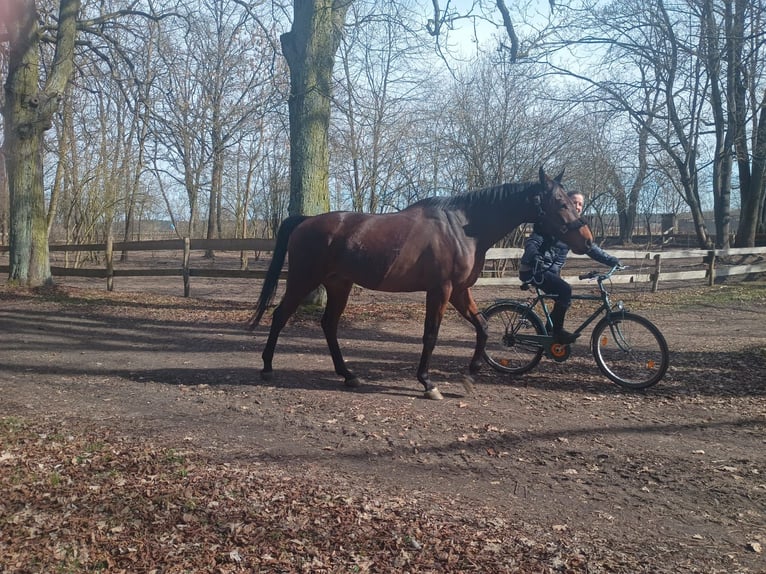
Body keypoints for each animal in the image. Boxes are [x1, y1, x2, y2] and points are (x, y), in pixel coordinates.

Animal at [248, 167, 593, 399]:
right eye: (560, 202)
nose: (587, 239)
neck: (464, 228)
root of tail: (305, 221)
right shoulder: (441, 291)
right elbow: (430, 335)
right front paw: (428, 383)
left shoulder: (460, 291)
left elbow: (483, 327)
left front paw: (470, 376)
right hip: (303, 280)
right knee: (280, 316)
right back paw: (266, 368)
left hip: (339, 285)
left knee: (328, 325)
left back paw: (348, 375)